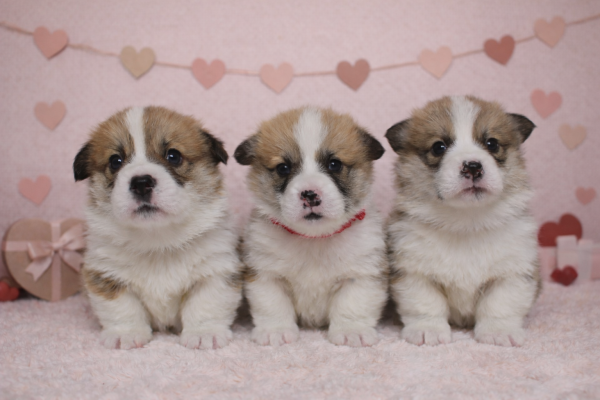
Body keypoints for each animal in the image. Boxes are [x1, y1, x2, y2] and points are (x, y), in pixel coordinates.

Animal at [73, 106, 242, 350]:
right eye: (115, 161)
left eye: (173, 155)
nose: (141, 183)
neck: (157, 240)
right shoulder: (106, 275)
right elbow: (122, 309)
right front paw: (126, 333)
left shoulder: (216, 271)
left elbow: (205, 305)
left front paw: (204, 333)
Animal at [234, 106, 388, 347]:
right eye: (283, 168)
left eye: (334, 164)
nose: (309, 194)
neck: (314, 239)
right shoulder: (265, 275)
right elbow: (272, 306)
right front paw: (275, 331)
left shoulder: (361, 275)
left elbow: (352, 306)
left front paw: (351, 331)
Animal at [385, 95, 540, 347]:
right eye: (439, 147)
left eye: (492, 144)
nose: (473, 166)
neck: (466, 222)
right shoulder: (414, 273)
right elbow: (426, 305)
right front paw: (427, 330)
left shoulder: (512, 273)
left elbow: (500, 305)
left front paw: (499, 332)